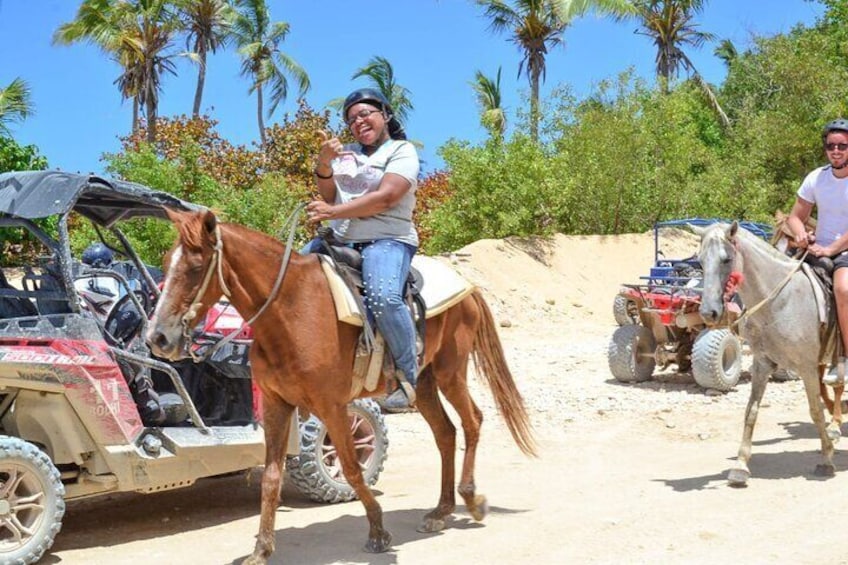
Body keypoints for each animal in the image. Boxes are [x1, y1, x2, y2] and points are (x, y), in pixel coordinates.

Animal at [142, 208, 532, 564]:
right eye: (166, 261)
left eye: (195, 267)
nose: (157, 337)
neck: (291, 310)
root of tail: (467, 288)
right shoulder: (275, 403)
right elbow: (271, 476)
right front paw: (262, 549)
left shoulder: (331, 405)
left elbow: (352, 468)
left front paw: (377, 531)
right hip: (422, 383)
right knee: (446, 434)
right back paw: (441, 510)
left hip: (451, 373)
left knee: (472, 422)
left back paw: (472, 501)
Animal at [696, 223, 836, 486]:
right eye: (700, 261)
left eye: (726, 259)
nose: (709, 312)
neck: (781, 301)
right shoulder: (762, 363)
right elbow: (751, 411)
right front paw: (740, 466)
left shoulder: (807, 368)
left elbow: (815, 411)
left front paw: (826, 459)